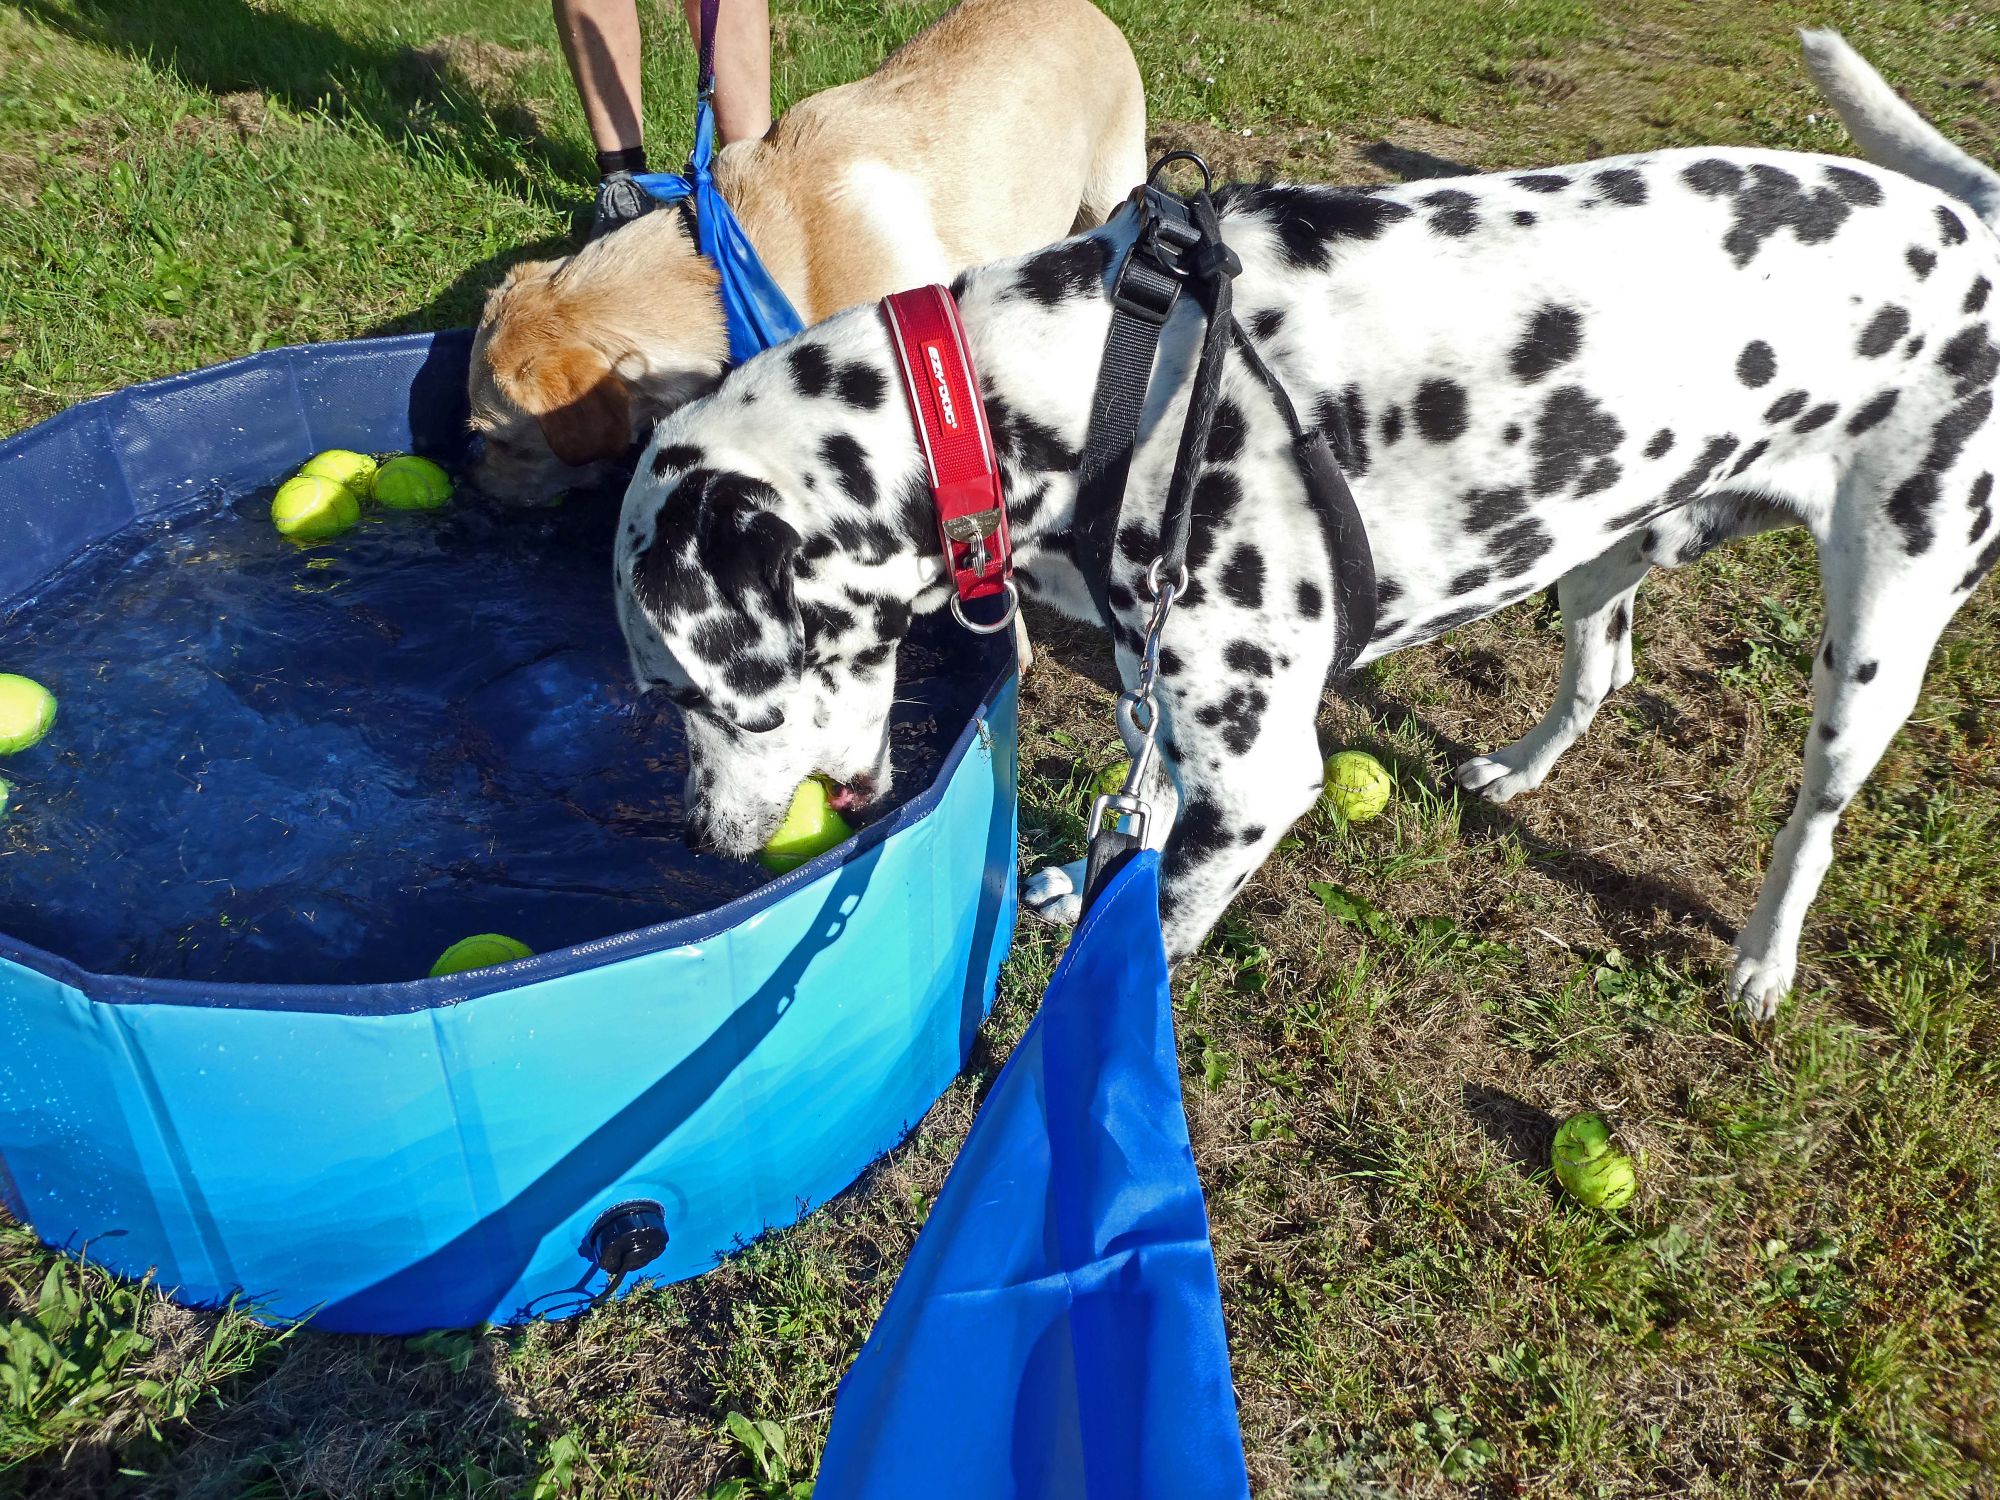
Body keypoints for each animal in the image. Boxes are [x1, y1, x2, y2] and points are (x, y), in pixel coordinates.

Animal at [616, 35, 2000, 1024]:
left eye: (678, 692)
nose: (694, 839)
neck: (1092, 378)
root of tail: (1969, 225)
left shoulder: (1257, 775)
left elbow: (1151, 924)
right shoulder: (1163, 691)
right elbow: (1141, 806)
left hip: (1872, 647)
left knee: (1811, 820)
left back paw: (1763, 961)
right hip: (1602, 549)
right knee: (1601, 671)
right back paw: (1522, 768)